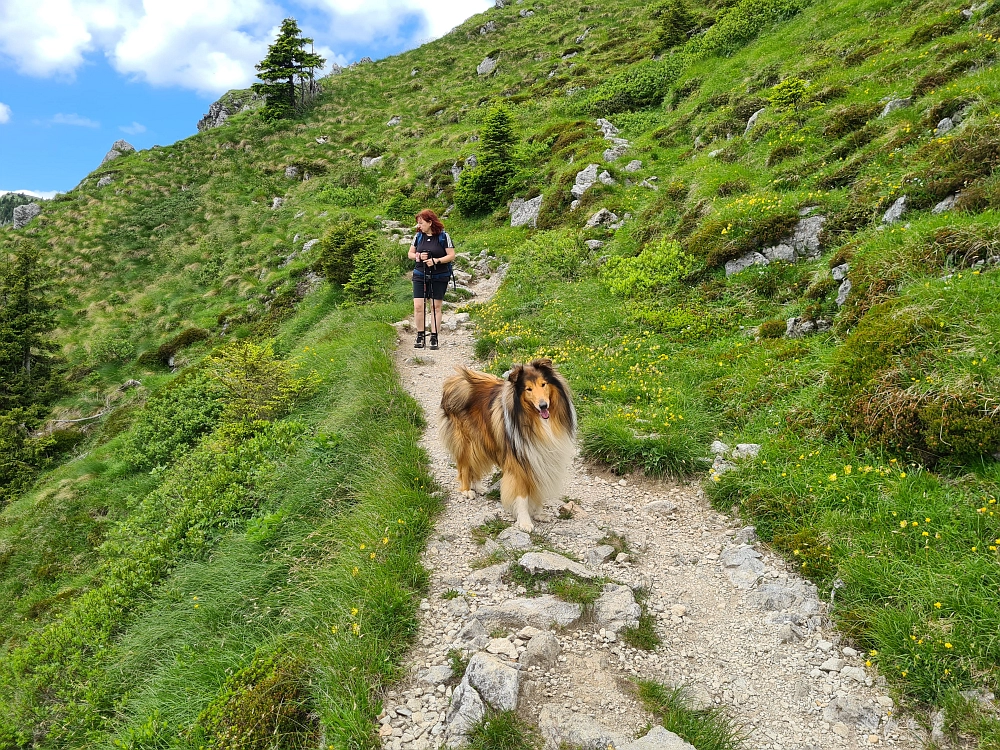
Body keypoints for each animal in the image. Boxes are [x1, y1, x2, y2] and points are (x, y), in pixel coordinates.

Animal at [440, 360, 576, 532]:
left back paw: (479, 487)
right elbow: (522, 496)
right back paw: (467, 491)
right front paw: (525, 522)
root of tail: (458, 381)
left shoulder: (539, 458)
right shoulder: (519, 463)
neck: (535, 420)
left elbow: (537, 489)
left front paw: (539, 513)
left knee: (475, 464)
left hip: (482, 441)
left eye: (543, 384)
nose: (544, 406)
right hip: (466, 442)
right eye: (528, 389)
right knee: (464, 466)